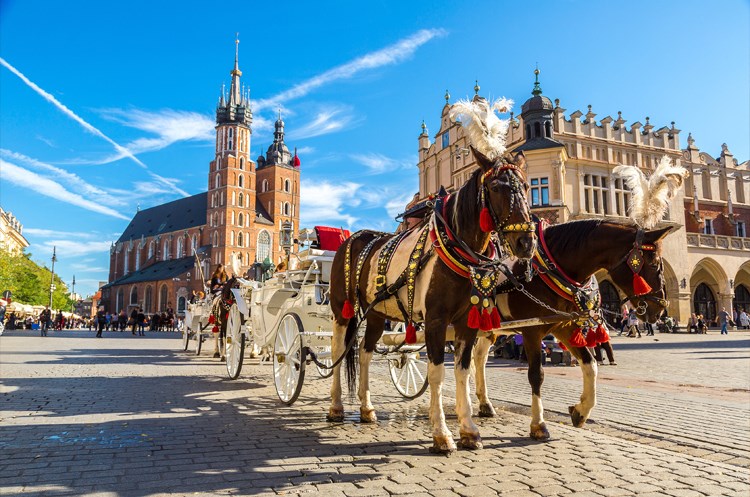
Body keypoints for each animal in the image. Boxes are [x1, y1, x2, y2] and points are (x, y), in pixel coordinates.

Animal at [332, 147, 536, 454]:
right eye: (495, 187)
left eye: (526, 186)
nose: (526, 242)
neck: (455, 249)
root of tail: (353, 237)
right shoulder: (436, 321)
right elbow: (438, 372)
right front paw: (442, 435)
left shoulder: (467, 323)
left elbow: (463, 371)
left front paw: (469, 430)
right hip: (341, 310)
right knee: (337, 350)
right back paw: (335, 407)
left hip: (377, 314)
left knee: (365, 353)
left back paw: (367, 409)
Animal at [470, 217, 676, 438]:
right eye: (654, 263)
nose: (660, 308)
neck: (547, 270)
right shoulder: (531, 331)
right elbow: (536, 375)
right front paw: (538, 424)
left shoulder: (564, 326)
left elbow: (590, 364)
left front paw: (581, 411)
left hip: (488, 328)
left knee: (478, 358)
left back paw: (484, 404)